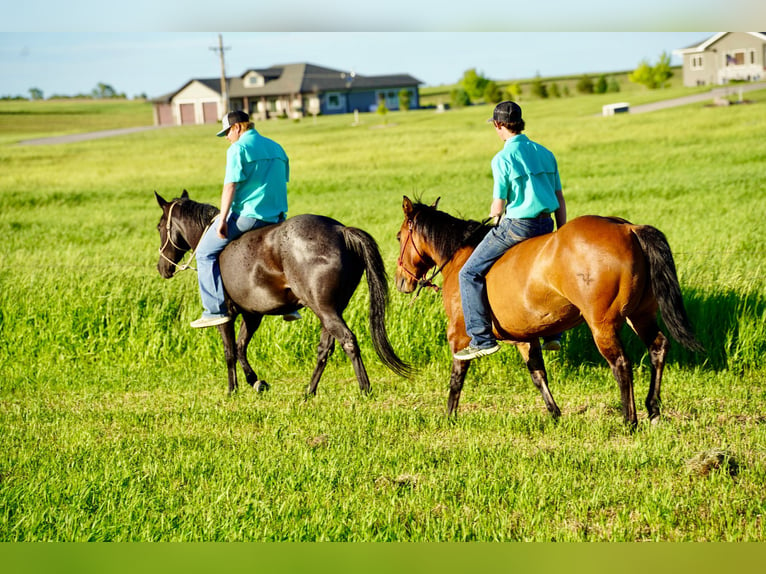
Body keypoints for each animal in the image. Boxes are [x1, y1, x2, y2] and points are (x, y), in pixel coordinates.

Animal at [152, 191, 412, 398]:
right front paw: (256, 382)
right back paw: (309, 391)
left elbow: (229, 351)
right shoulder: (252, 315)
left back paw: (364, 389)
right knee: (325, 348)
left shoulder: (226, 313)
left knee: (348, 341)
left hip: (325, 309)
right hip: (331, 310)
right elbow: (240, 347)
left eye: (159, 226)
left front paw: (232, 390)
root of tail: (340, 230)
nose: (162, 267)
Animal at [400, 198, 704, 428]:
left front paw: (449, 416)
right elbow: (538, 375)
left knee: (621, 364)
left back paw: (629, 421)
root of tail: (628, 229)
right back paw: (653, 410)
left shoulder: (460, 336)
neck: (459, 256)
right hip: (640, 315)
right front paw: (555, 414)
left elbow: (456, 378)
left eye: (399, 236)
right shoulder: (525, 338)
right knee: (658, 348)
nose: (402, 281)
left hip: (602, 325)